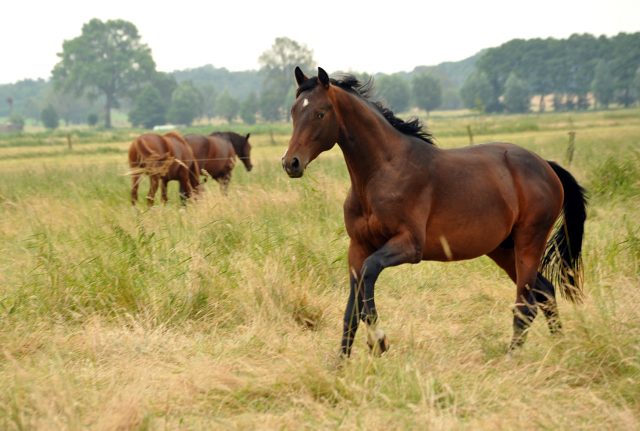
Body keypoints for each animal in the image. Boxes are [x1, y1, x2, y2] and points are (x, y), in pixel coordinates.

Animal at [282, 67, 588, 358]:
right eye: (294, 111)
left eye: (320, 113)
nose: (290, 163)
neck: (380, 173)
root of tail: (547, 167)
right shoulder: (358, 248)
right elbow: (351, 312)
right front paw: (342, 365)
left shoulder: (409, 245)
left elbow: (369, 275)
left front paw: (378, 340)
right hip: (504, 249)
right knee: (546, 293)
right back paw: (561, 350)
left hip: (528, 244)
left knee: (526, 305)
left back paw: (513, 359)